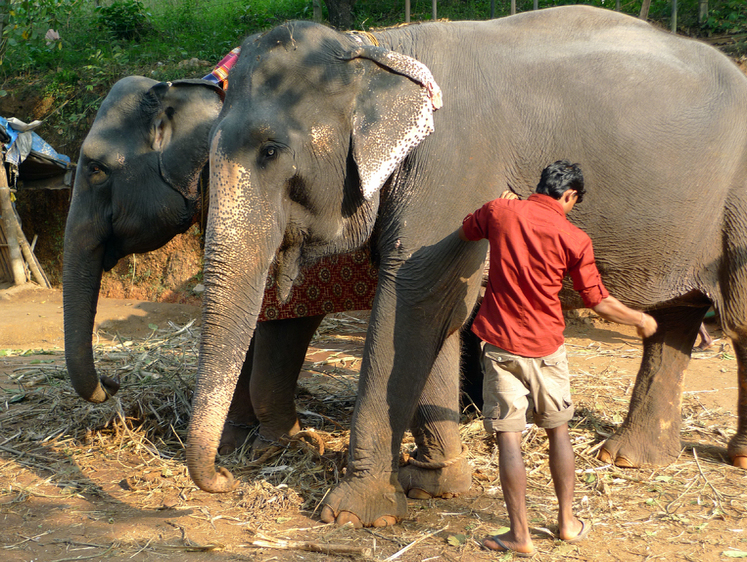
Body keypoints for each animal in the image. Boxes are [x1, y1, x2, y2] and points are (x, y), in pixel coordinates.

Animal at [193, 5, 747, 524]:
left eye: (270, 150)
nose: (225, 478)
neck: (377, 50)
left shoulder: (451, 163)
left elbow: (414, 296)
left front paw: (353, 513)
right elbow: (441, 306)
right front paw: (435, 484)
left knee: (738, 320)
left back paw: (732, 456)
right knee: (673, 318)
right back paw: (632, 457)